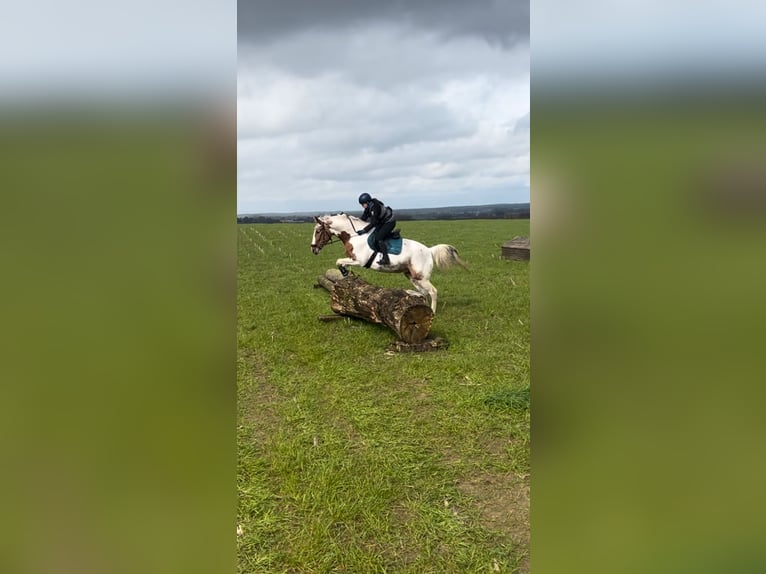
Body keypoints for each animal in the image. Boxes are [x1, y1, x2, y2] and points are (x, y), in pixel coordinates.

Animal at [308, 213, 464, 312]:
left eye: (318, 231)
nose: (313, 249)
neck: (354, 236)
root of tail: (429, 250)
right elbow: (340, 262)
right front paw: (346, 273)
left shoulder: (359, 261)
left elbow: (339, 261)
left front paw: (344, 272)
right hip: (411, 276)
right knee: (423, 292)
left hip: (421, 277)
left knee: (432, 292)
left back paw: (432, 312)